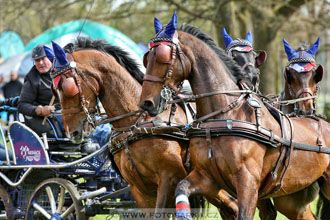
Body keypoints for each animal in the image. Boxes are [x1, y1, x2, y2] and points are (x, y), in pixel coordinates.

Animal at [47, 38, 202, 219]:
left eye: (68, 87)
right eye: (54, 90)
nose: (72, 133)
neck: (136, 123)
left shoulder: (170, 178)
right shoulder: (139, 189)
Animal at [139, 11, 330, 220]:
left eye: (163, 57)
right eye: (147, 58)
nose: (147, 102)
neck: (226, 116)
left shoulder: (248, 183)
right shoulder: (207, 178)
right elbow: (181, 188)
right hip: (291, 198)